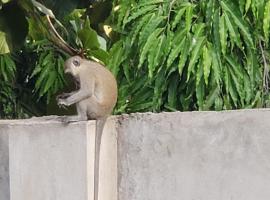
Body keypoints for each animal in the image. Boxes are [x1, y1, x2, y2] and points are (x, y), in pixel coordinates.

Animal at [57, 55, 117, 200]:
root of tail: (105, 113)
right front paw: (66, 95)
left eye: (72, 76)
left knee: (85, 98)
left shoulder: (86, 75)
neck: (85, 64)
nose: (76, 82)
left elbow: (85, 92)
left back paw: (80, 118)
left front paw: (65, 101)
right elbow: (80, 92)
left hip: (94, 108)